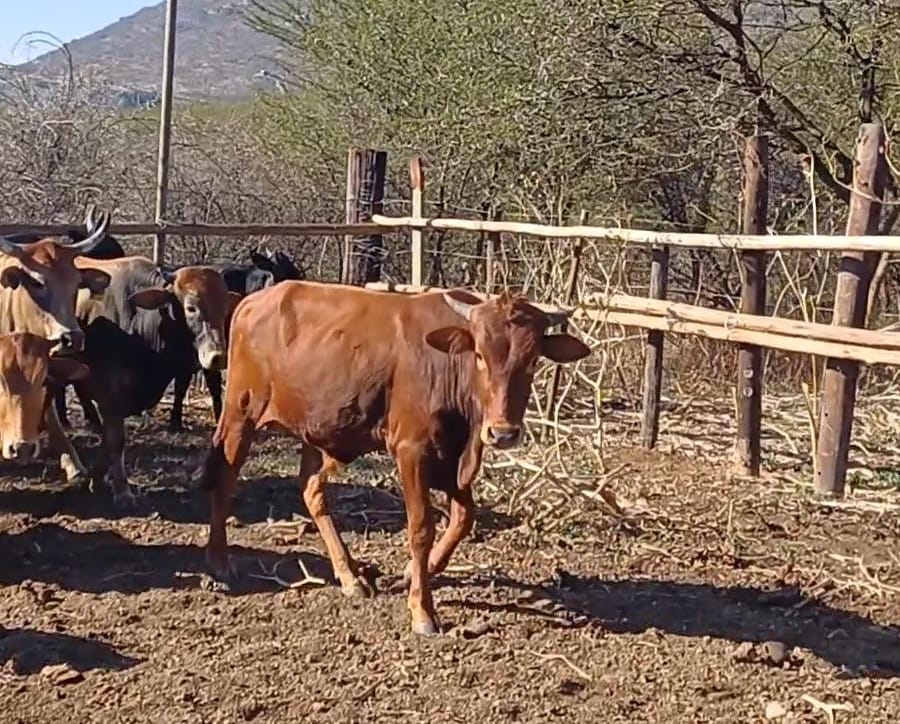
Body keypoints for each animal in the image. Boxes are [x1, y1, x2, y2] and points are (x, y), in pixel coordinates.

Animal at [56, 256, 240, 500]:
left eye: (224, 307)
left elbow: (110, 438)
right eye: (191, 308)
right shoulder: (109, 389)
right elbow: (116, 439)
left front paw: (96, 479)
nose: (218, 356)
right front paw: (123, 491)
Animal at [200, 282, 591, 636]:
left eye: (533, 360)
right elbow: (421, 529)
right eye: (479, 355)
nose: (503, 432)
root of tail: (254, 300)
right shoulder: (411, 452)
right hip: (240, 412)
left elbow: (463, 518)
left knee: (312, 491)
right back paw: (219, 560)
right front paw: (422, 610)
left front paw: (415, 572)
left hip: (317, 430)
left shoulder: (453, 460)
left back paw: (350, 576)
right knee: (225, 477)